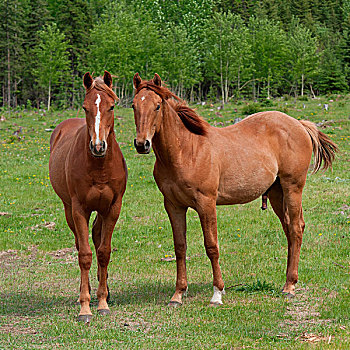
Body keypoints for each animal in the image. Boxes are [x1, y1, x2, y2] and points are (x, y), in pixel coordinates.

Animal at [48, 72, 126, 322]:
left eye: (112, 106)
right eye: (85, 107)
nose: (98, 146)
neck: (100, 167)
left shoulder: (113, 208)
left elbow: (103, 252)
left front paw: (102, 302)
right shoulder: (79, 209)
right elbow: (84, 255)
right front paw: (85, 307)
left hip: (100, 210)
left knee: (97, 237)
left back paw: (106, 291)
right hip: (69, 210)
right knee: (80, 242)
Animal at [131, 72, 336, 306]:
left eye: (157, 106)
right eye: (134, 105)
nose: (142, 144)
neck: (185, 151)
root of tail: (299, 124)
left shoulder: (206, 203)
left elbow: (212, 246)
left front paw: (217, 293)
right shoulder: (174, 206)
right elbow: (180, 247)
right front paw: (178, 294)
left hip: (293, 188)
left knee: (295, 228)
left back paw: (290, 286)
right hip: (277, 193)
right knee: (289, 231)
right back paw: (287, 281)